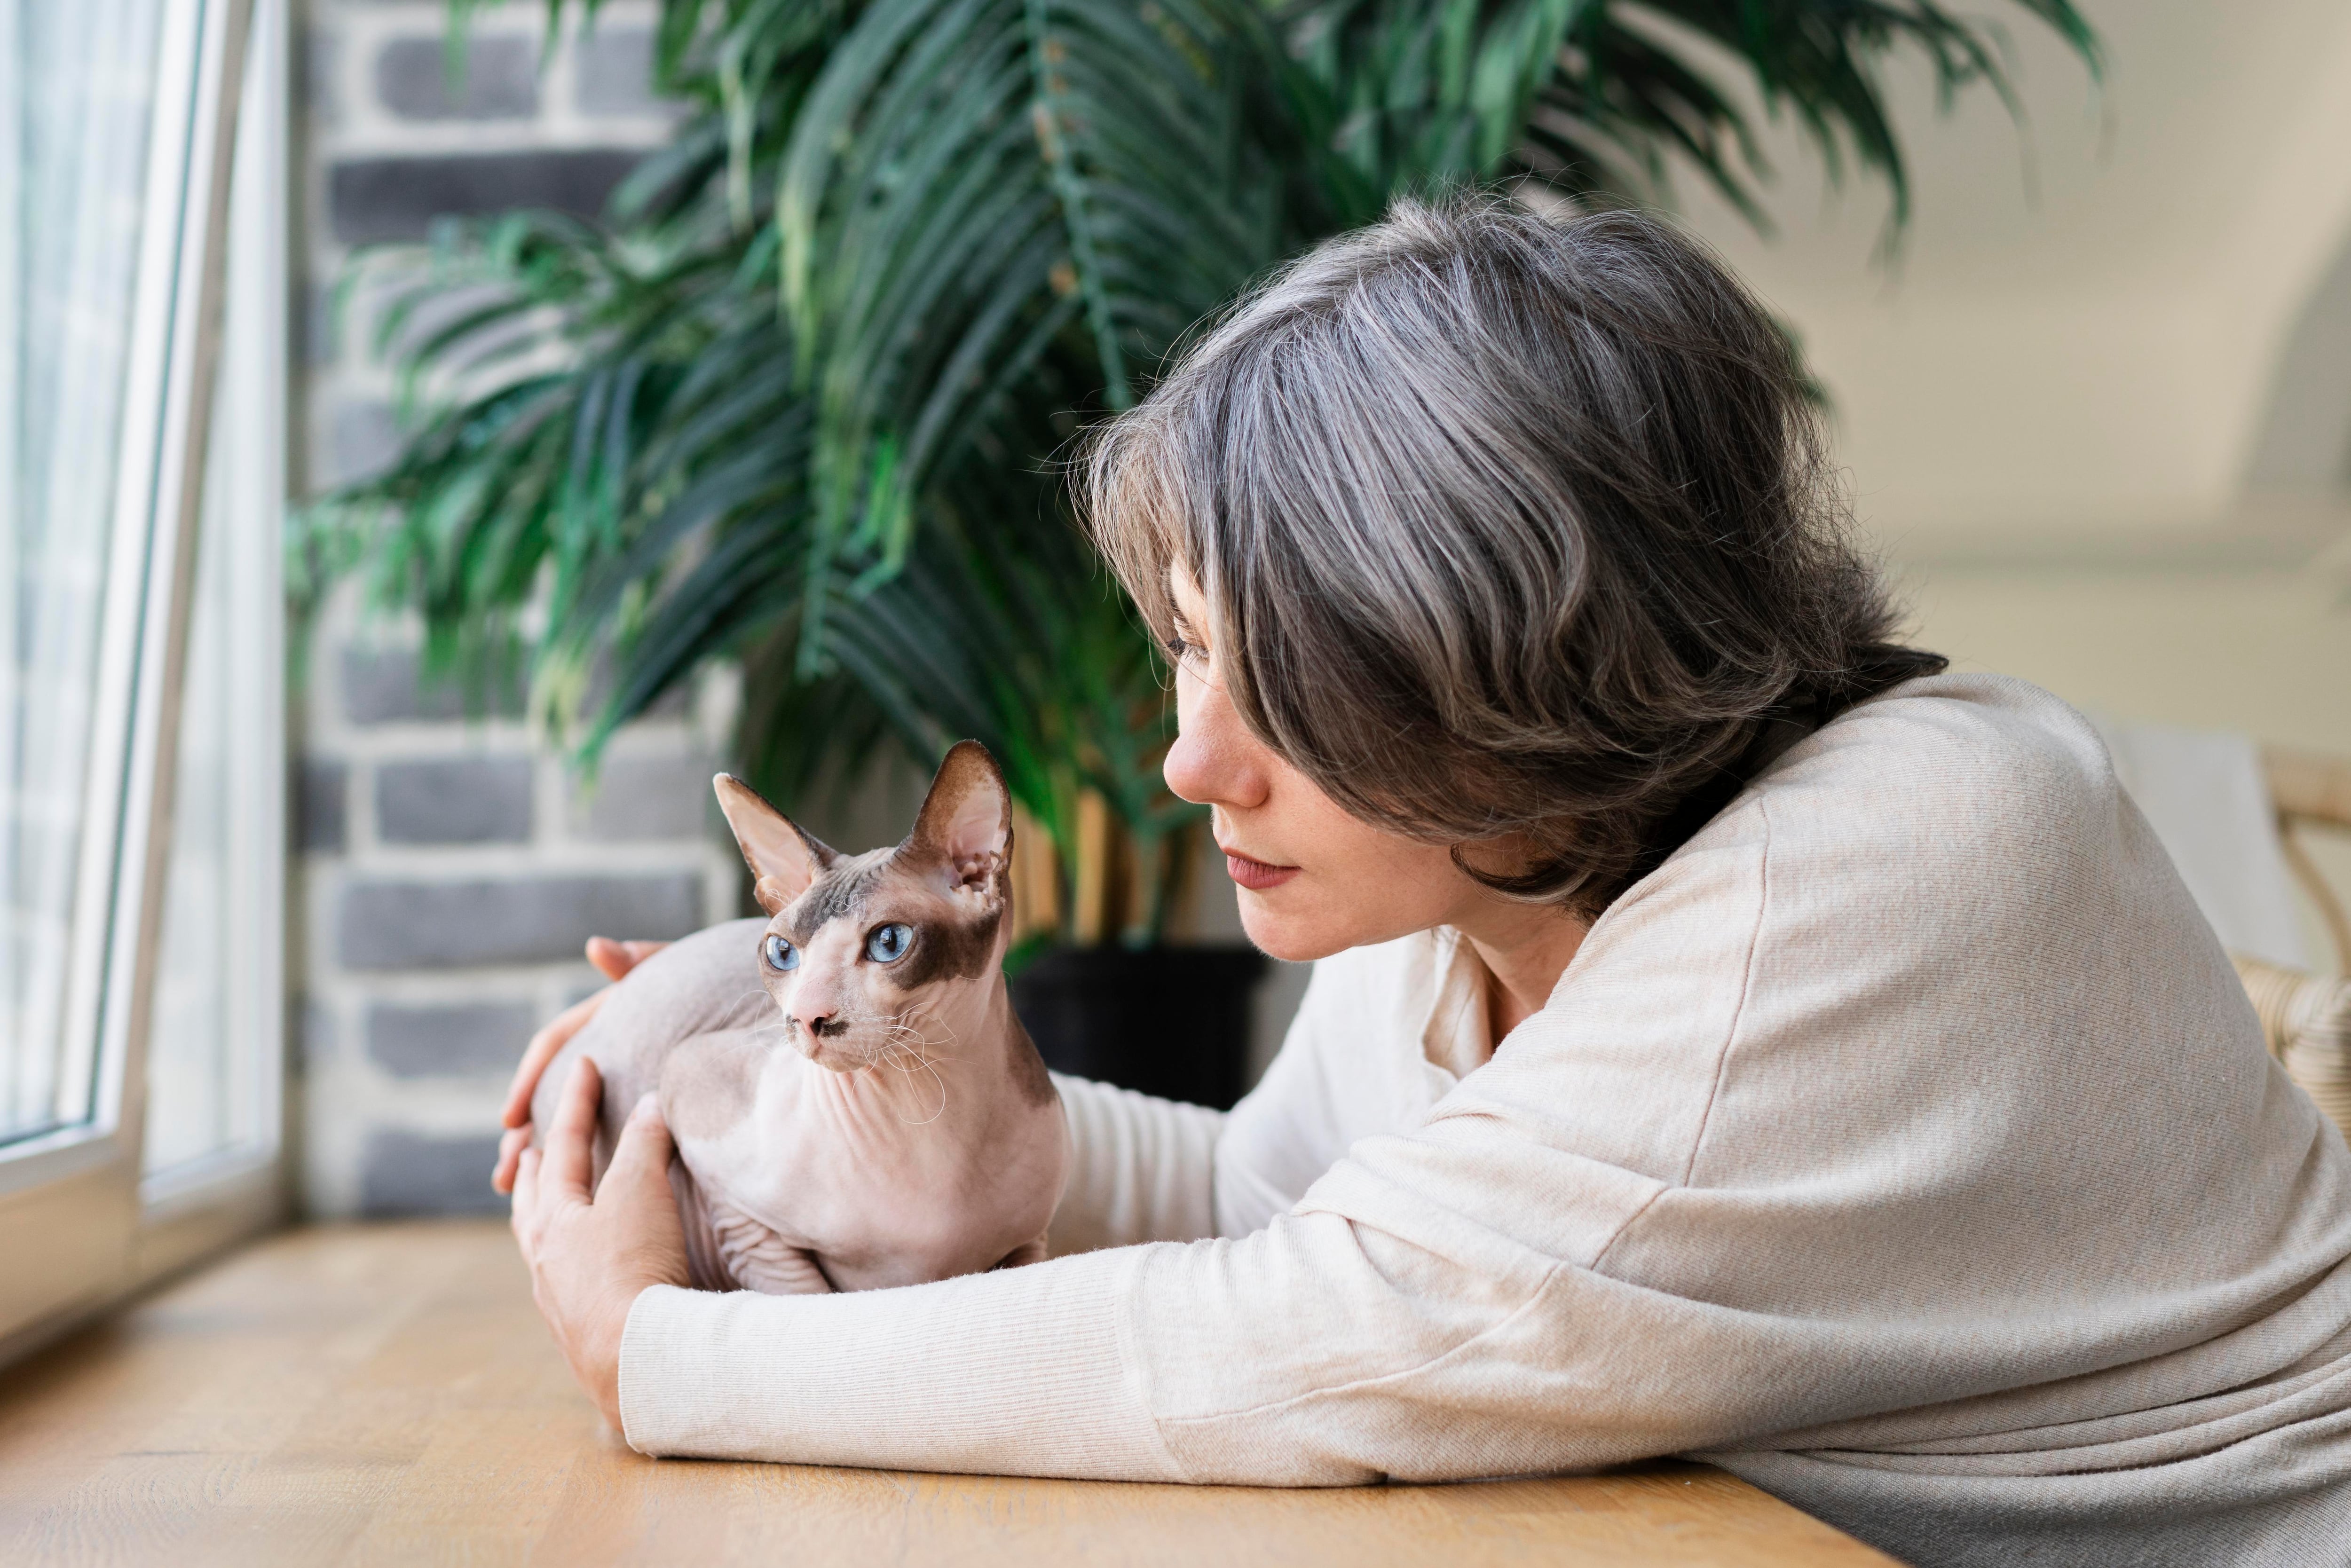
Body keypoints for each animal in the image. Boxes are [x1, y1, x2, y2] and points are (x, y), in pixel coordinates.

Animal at [529, 743, 1072, 1298]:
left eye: (889, 942)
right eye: (782, 951)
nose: (807, 1015)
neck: (926, 1104)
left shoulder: (1029, 1242)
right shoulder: (706, 1129)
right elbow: (796, 1287)